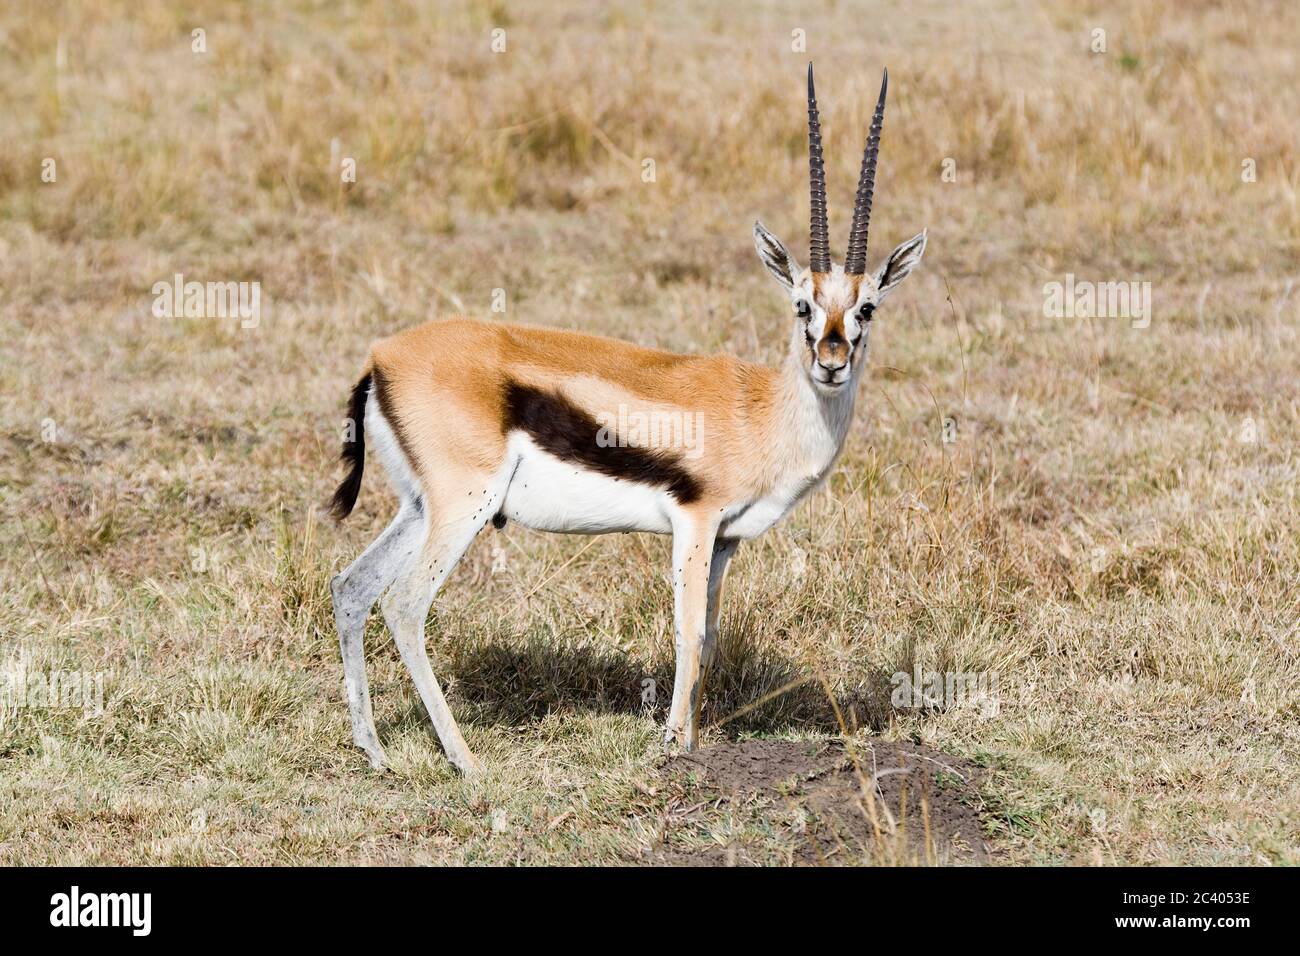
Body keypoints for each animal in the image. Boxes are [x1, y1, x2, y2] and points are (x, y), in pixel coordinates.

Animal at [329, 65, 927, 772]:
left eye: (867, 308)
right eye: (802, 305)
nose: (831, 361)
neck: (759, 410)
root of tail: (381, 356)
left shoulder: (726, 540)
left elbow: (711, 636)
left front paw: (693, 743)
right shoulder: (696, 521)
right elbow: (687, 632)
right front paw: (672, 749)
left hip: (420, 506)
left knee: (351, 588)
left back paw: (374, 752)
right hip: (463, 506)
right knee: (404, 606)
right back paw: (466, 761)